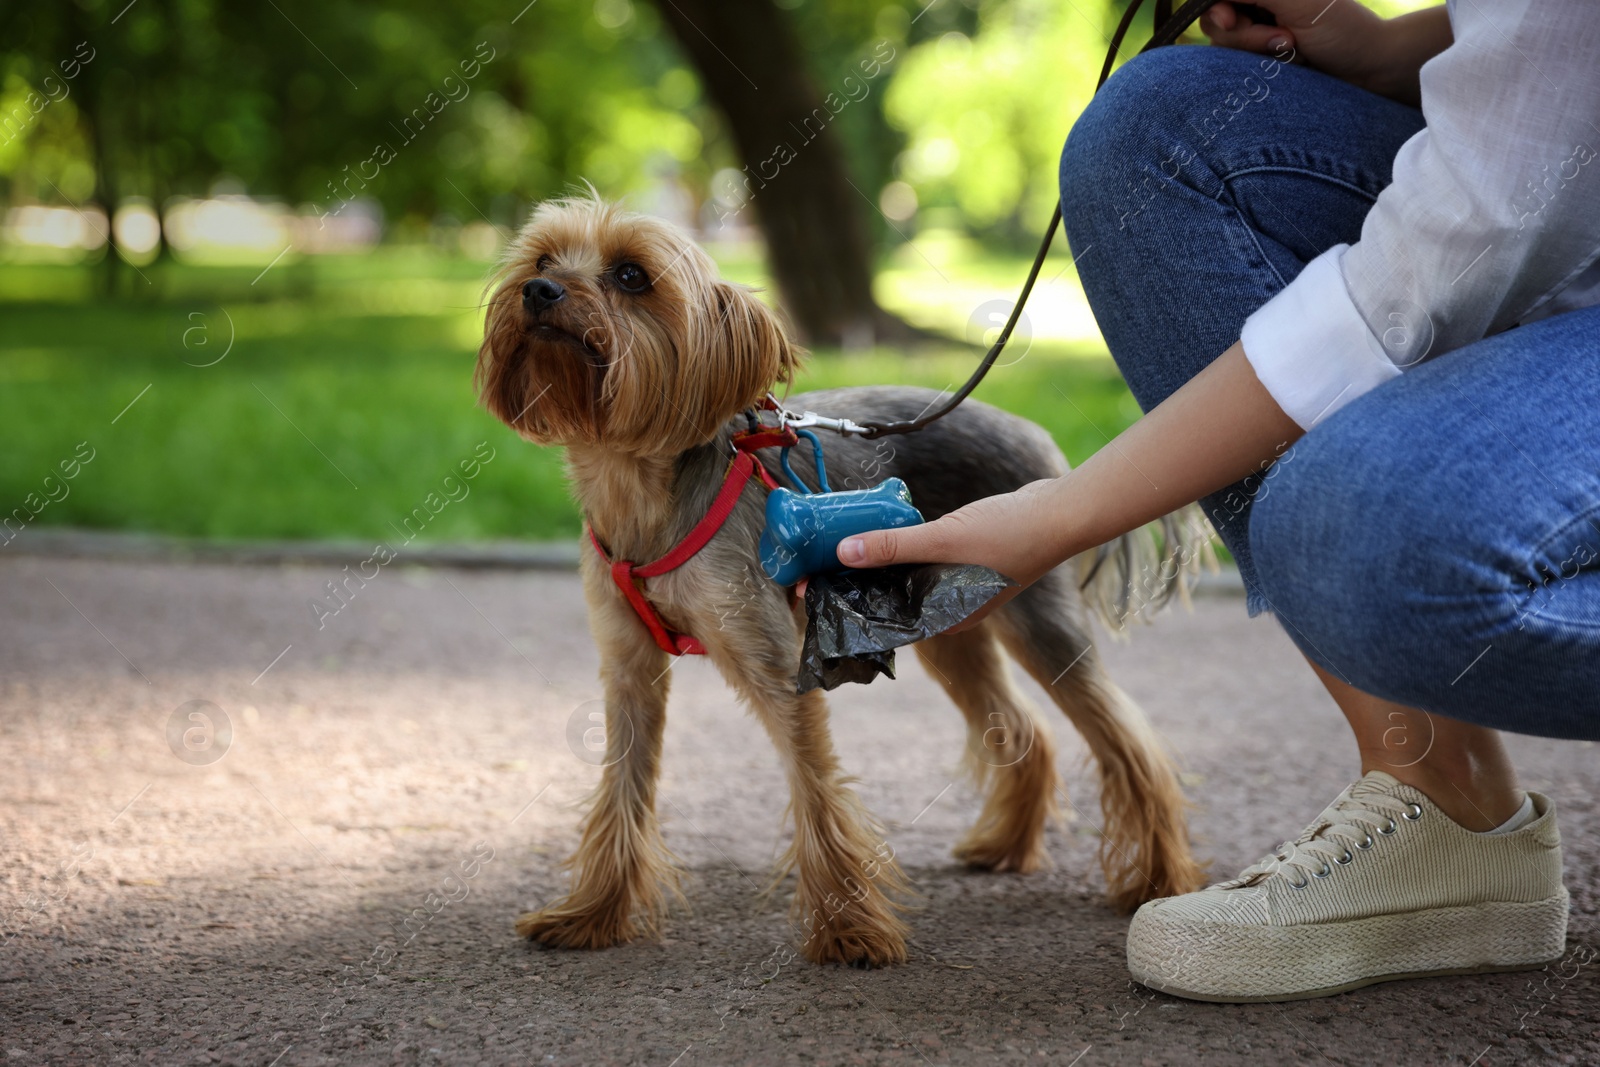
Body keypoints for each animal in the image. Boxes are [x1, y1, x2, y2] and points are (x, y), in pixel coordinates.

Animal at [480, 198, 1203, 966]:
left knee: (1130, 744)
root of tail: (1044, 441)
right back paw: (1006, 847)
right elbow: (623, 786)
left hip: (1040, 618)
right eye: (541, 260)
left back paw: (1157, 880)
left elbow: (817, 789)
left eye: (630, 275)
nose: (539, 291)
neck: (637, 487)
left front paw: (849, 931)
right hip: (949, 627)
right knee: (1021, 725)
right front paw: (593, 913)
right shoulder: (629, 671)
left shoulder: (775, 666)